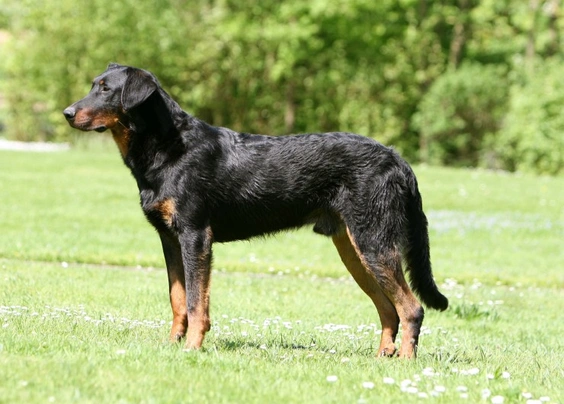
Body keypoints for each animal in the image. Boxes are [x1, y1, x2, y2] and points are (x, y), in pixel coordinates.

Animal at [64, 64, 448, 358]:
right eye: (92, 85)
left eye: (106, 90)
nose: (67, 113)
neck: (168, 147)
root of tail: (397, 159)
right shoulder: (169, 240)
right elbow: (177, 299)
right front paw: (172, 345)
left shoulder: (195, 236)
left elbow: (197, 303)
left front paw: (191, 349)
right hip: (354, 249)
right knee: (389, 309)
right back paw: (384, 356)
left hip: (373, 243)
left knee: (411, 308)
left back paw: (405, 362)